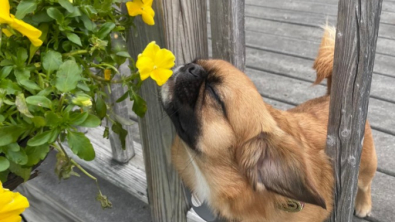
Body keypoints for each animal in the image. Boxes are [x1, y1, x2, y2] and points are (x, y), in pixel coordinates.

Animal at [160, 26, 378, 221]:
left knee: (365, 186)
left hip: (365, 169)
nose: (191, 66)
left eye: (213, 93)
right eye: (195, 61)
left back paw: (363, 205)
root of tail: (330, 95)